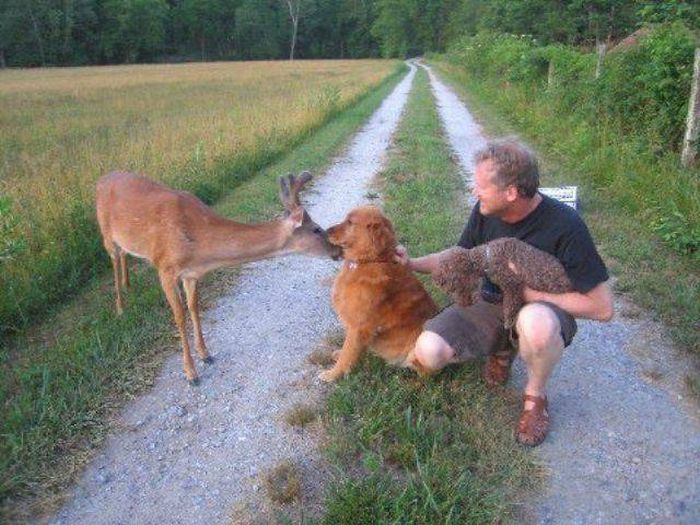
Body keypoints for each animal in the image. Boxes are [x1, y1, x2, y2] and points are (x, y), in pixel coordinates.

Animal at [96, 172, 342, 384]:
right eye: (317, 229)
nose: (338, 250)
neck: (198, 243)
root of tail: (101, 179)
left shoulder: (192, 273)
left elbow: (194, 308)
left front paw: (206, 354)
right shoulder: (165, 268)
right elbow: (179, 317)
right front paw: (191, 373)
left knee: (124, 253)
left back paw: (128, 285)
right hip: (106, 233)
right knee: (114, 258)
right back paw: (120, 306)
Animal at [318, 205, 438, 380]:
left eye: (350, 222)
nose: (325, 231)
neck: (370, 260)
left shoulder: (358, 327)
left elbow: (347, 354)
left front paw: (332, 374)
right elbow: (347, 350)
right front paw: (338, 355)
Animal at [432, 236, 576, 328]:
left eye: (447, 271)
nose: (436, 280)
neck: (487, 256)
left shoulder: (512, 285)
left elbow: (510, 305)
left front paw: (509, 321)